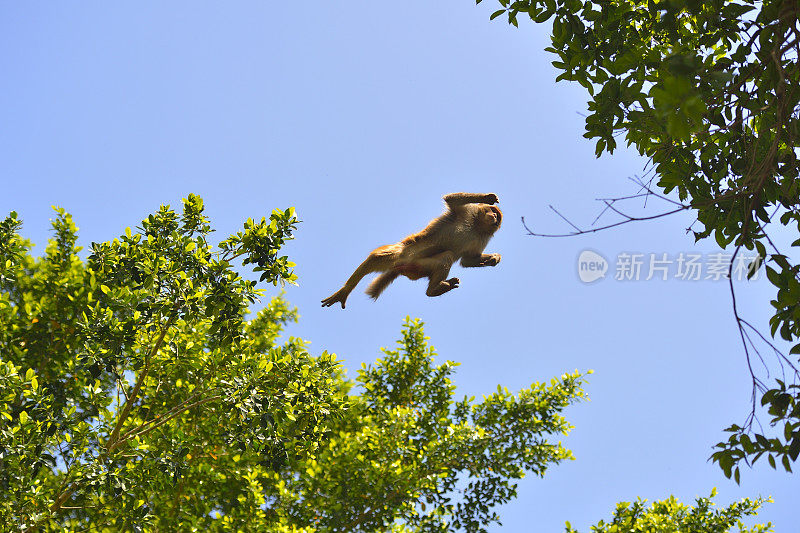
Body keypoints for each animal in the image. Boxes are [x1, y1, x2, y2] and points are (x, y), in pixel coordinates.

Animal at [318, 191, 500, 308]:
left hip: (418, 267)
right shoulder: (468, 211)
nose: (494, 217)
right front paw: (487, 197)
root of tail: (404, 267)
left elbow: (468, 260)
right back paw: (346, 290)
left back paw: (433, 290)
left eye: (497, 217)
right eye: (492, 211)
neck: (475, 226)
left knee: (445, 257)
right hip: (403, 254)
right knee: (377, 257)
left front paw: (494, 259)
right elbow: (452, 200)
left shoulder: (483, 237)